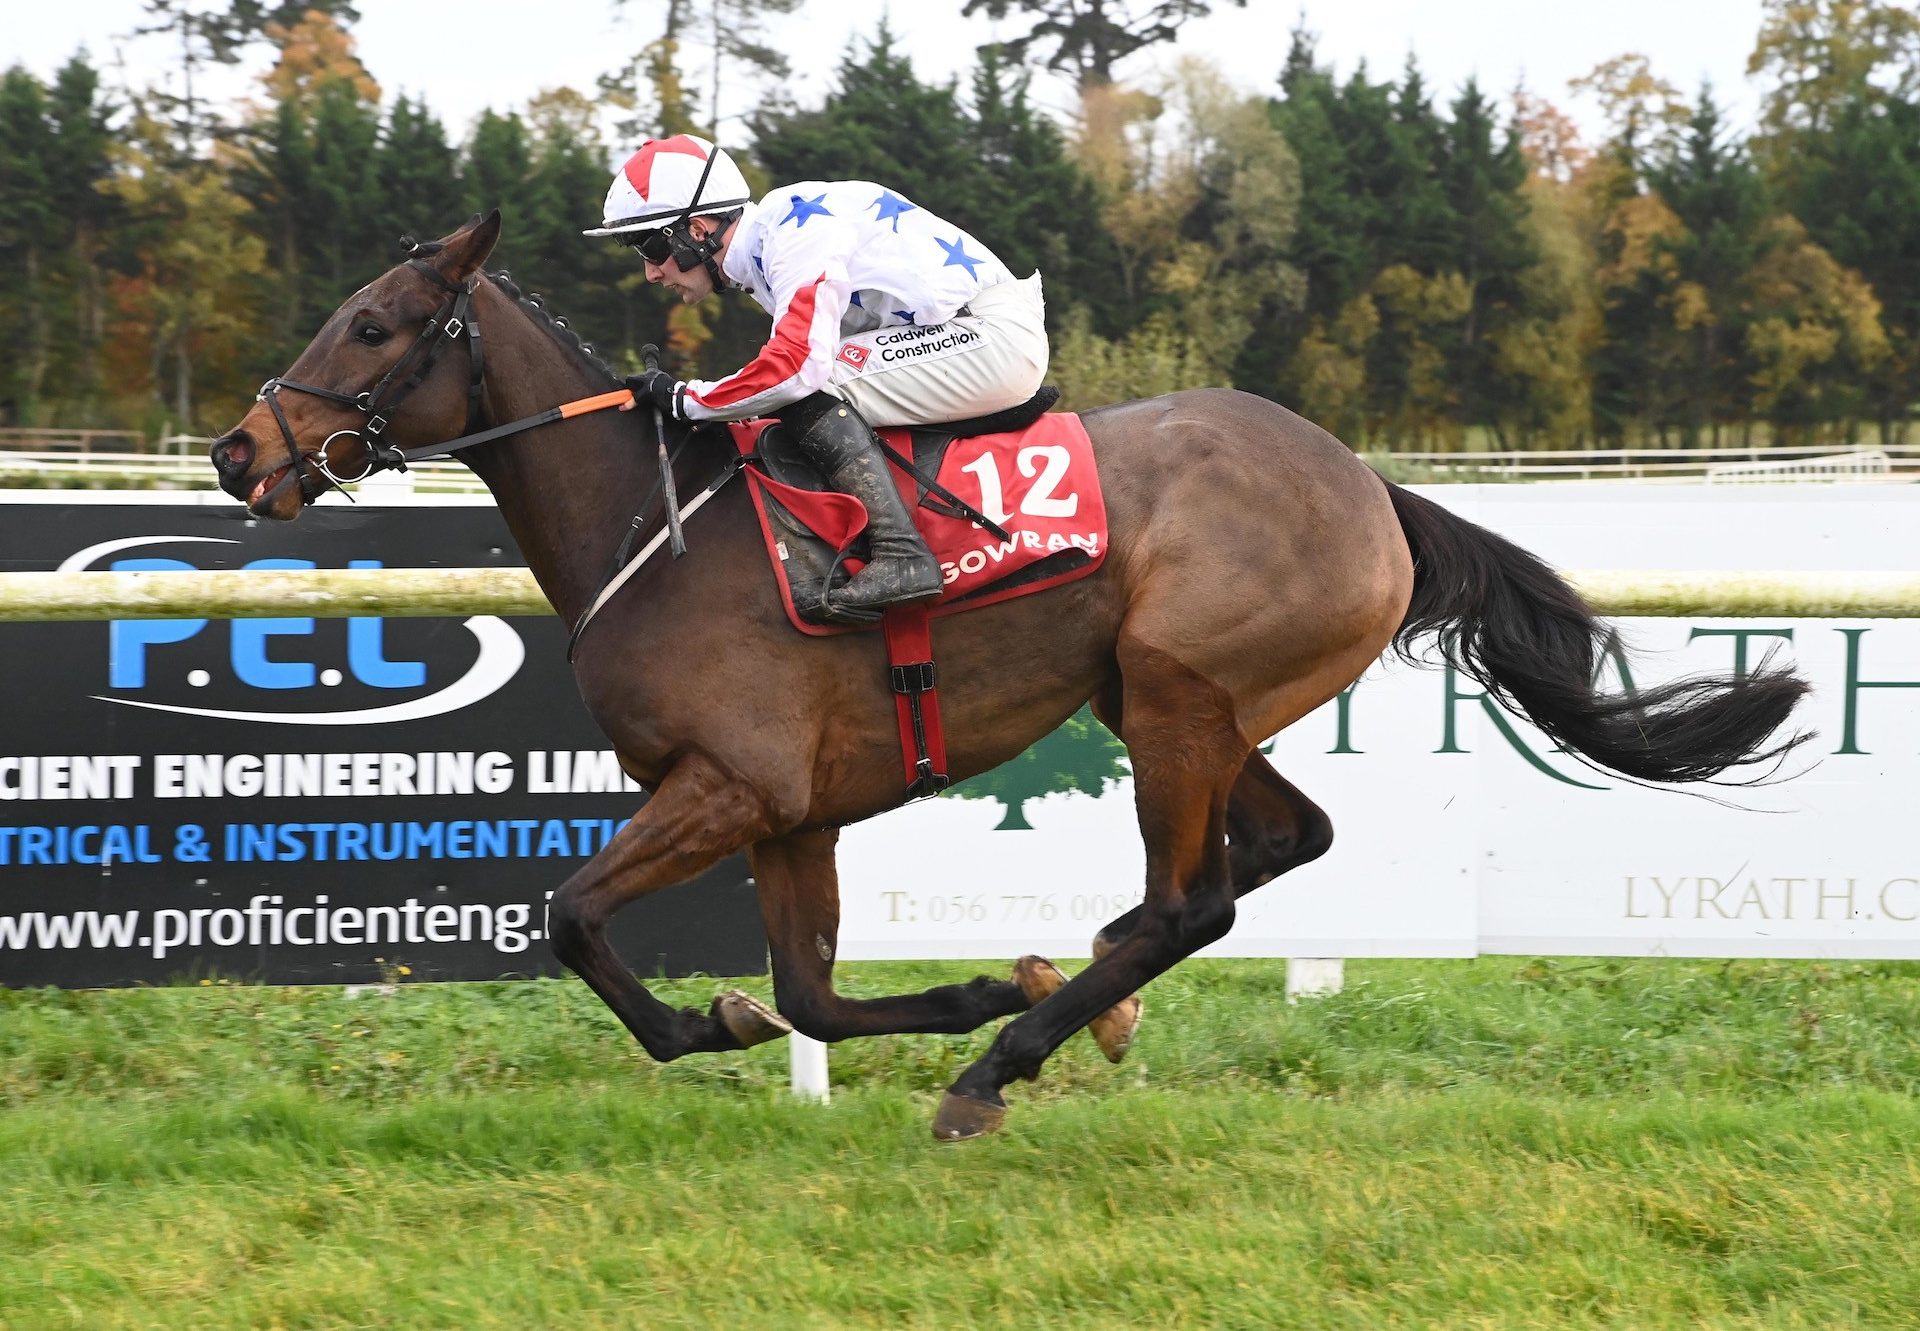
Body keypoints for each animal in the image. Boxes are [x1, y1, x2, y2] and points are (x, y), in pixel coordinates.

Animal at [214, 213, 1812, 1137]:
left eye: (372, 325)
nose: (238, 452)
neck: (646, 522)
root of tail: (1370, 485)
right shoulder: (794, 811)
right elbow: (810, 995)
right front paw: (978, 978)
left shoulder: (732, 784)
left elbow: (575, 918)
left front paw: (720, 1020)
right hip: (1177, 697)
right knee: (1279, 843)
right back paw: (1075, 989)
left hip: (1175, 693)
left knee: (1195, 898)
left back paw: (1004, 1065)